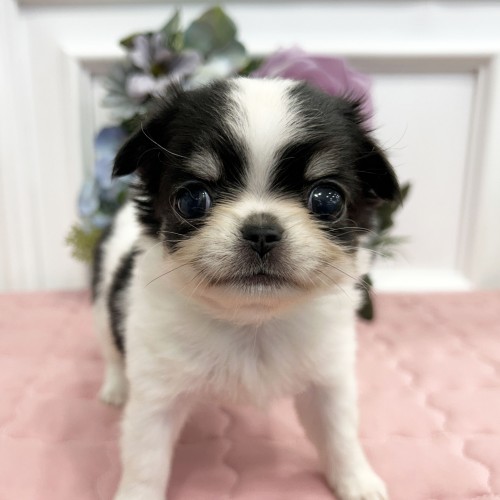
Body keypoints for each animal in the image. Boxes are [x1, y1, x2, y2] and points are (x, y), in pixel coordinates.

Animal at [92, 77, 399, 500]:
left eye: (327, 199)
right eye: (192, 199)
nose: (262, 231)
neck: (252, 323)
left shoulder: (328, 380)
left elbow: (340, 435)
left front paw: (357, 481)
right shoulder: (156, 395)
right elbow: (145, 461)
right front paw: (137, 494)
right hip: (105, 303)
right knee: (110, 349)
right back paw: (115, 387)